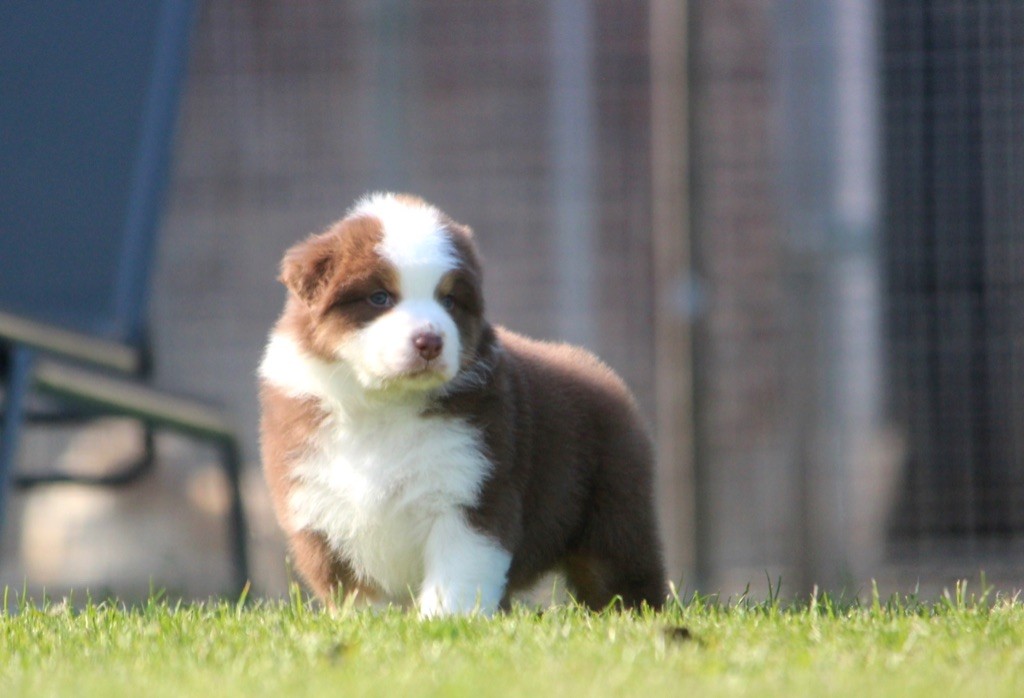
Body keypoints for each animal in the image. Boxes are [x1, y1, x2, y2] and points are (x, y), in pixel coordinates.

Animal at [259, 193, 665, 616]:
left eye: (449, 300)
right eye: (379, 297)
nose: (430, 342)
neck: (385, 405)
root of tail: (601, 372)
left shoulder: (472, 491)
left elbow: (455, 575)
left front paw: (446, 621)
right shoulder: (317, 505)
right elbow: (357, 594)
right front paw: (366, 623)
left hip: (614, 509)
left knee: (621, 571)